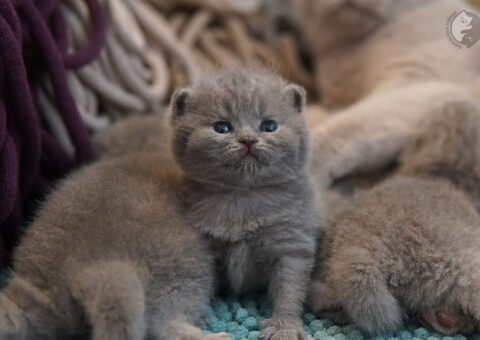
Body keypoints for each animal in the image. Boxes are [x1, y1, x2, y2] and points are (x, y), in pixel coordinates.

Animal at [172, 68, 322, 340]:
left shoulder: (292, 243)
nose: (248, 140)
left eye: (269, 126)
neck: (242, 197)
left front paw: (284, 327)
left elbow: (289, 289)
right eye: (222, 127)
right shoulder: (205, 247)